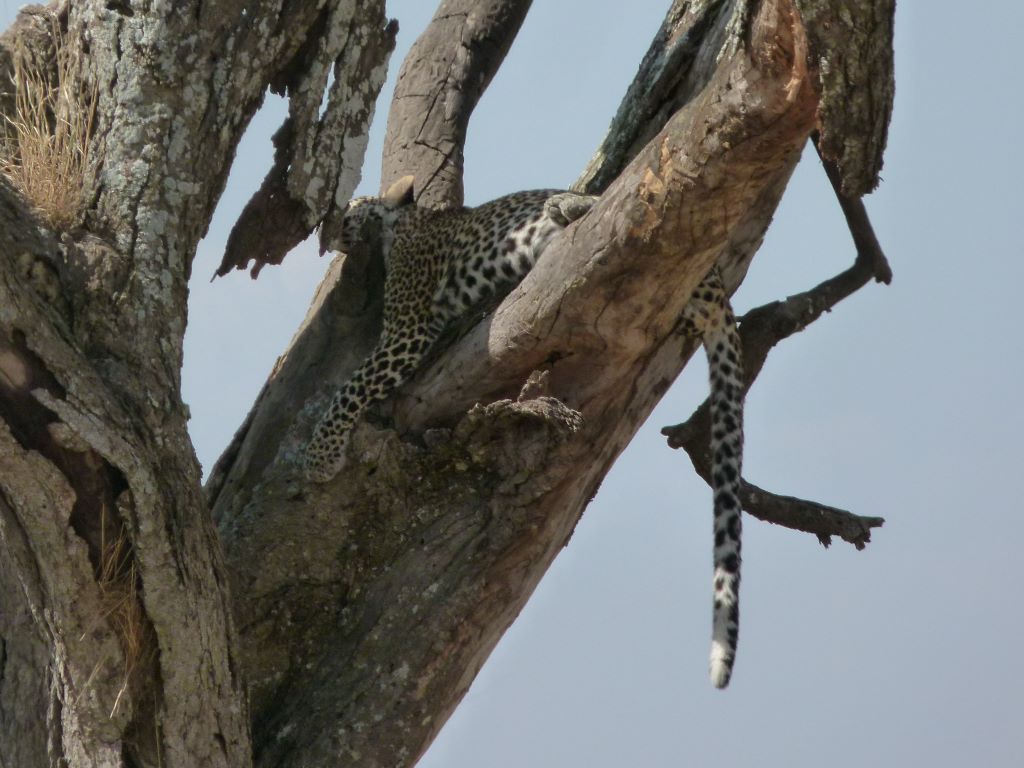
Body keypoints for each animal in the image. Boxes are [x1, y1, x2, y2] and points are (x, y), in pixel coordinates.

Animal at [303, 176, 745, 688]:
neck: (402, 221)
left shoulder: (406, 332)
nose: (328, 227)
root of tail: (718, 281)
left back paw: (567, 205)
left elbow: (351, 386)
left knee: (624, 208)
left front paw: (319, 457)